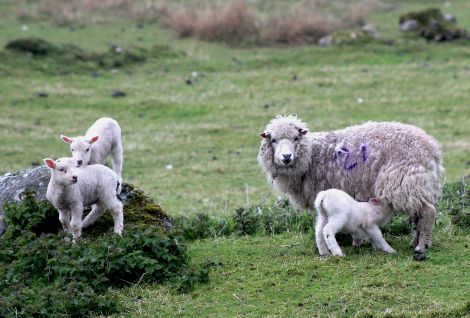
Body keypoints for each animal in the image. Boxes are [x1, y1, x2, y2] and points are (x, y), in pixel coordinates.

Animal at [258, 115, 444, 256]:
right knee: (419, 215)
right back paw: (415, 242)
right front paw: (356, 241)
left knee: (428, 212)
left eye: (296, 138)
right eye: (273, 140)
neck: (312, 155)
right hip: (417, 185)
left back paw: (422, 246)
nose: (286, 157)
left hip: (404, 182)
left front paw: (355, 242)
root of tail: (431, 147)